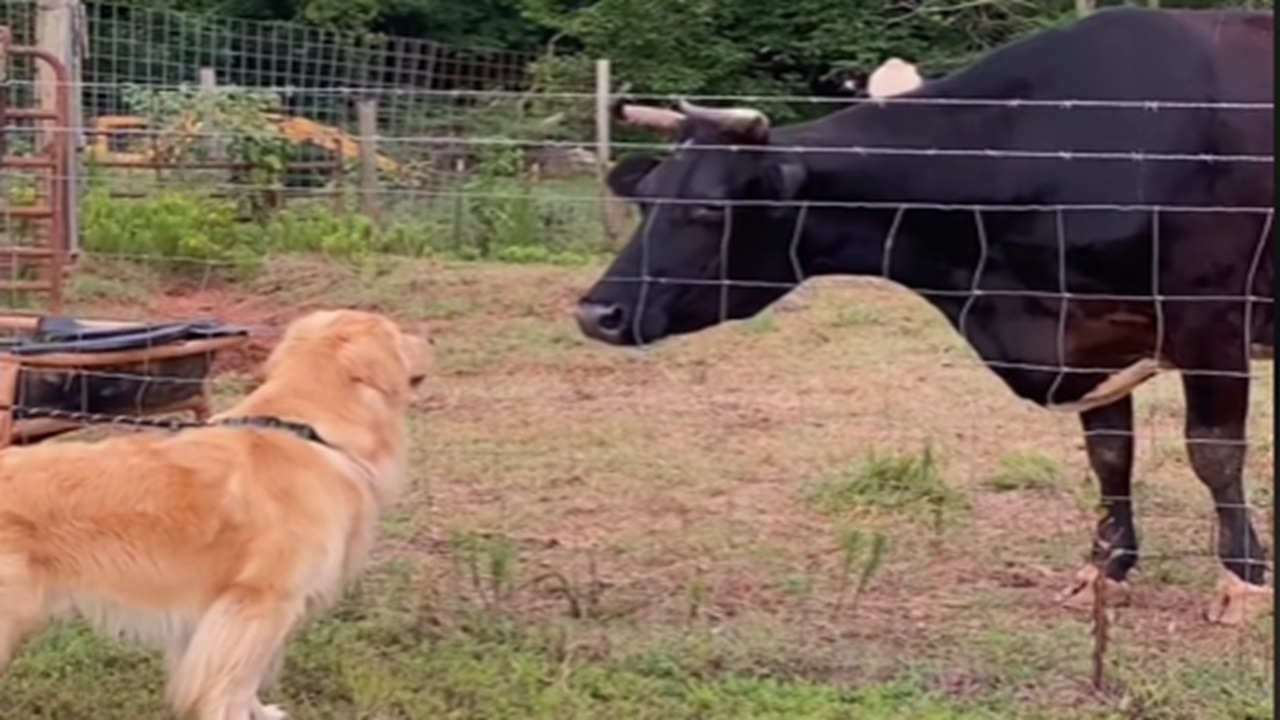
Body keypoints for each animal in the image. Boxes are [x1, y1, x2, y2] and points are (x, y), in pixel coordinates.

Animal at [576, 7, 1274, 622]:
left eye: (709, 207)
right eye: (646, 199)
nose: (596, 311)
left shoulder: (1209, 315)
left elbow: (1213, 452)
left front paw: (1242, 582)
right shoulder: (1087, 334)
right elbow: (1109, 454)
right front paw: (1104, 569)